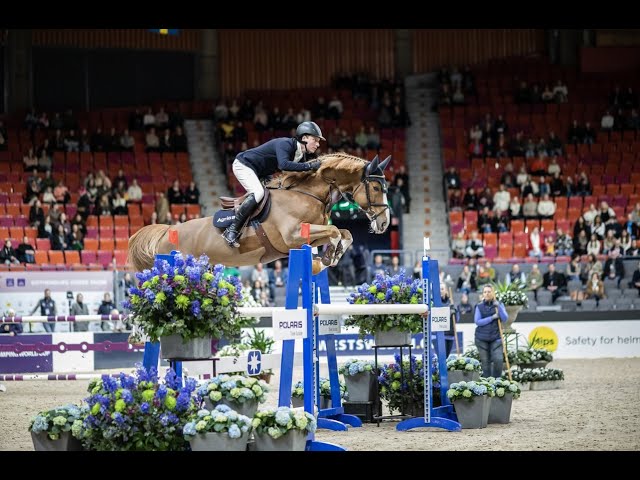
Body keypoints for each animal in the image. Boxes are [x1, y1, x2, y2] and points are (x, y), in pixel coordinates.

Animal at [128, 153, 391, 275]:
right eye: (376, 188)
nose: (384, 224)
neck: (307, 193)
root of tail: (166, 231)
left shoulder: (309, 236)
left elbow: (345, 233)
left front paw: (329, 258)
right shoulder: (293, 236)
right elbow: (336, 230)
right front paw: (330, 257)